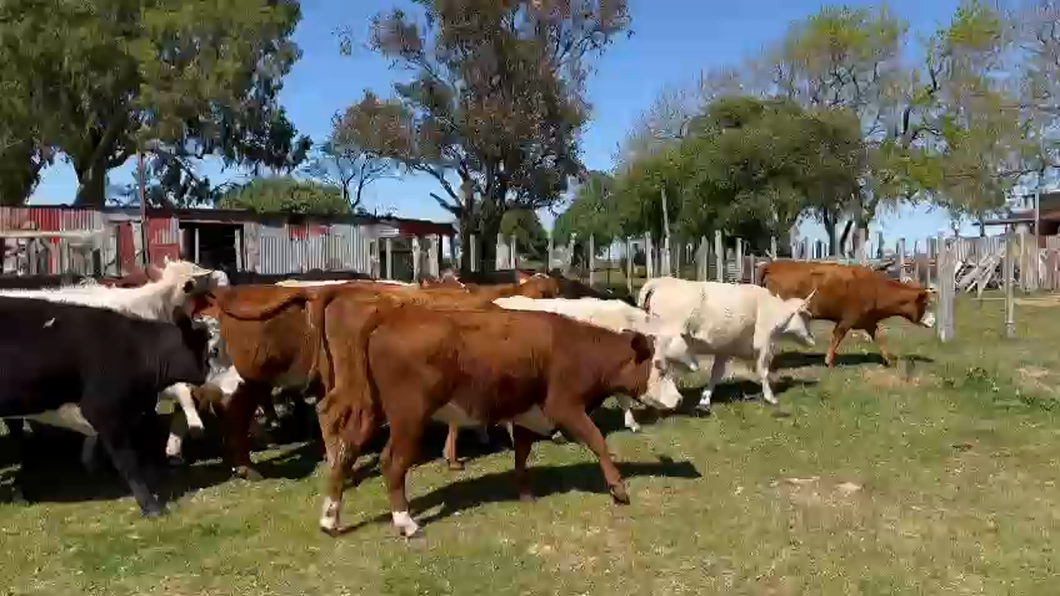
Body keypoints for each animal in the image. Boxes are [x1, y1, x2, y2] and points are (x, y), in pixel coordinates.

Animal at [311, 299, 678, 536]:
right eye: (659, 366)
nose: (676, 400)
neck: (578, 349)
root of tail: (389, 316)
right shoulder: (565, 407)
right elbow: (598, 441)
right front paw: (619, 489)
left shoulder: (527, 412)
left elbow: (522, 455)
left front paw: (525, 493)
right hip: (409, 415)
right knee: (391, 462)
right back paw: (405, 522)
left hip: (370, 407)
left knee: (346, 451)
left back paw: (330, 518)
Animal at [631, 277, 814, 407]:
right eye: (806, 316)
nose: (812, 339)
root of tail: (660, 281)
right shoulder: (764, 344)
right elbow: (763, 371)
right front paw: (770, 397)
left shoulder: (724, 349)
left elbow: (716, 373)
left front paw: (705, 399)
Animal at [754, 260, 937, 366]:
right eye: (926, 303)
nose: (933, 320)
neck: (876, 289)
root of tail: (772, 264)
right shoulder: (847, 319)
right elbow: (837, 336)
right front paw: (828, 361)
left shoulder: (868, 320)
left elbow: (880, 337)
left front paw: (888, 360)